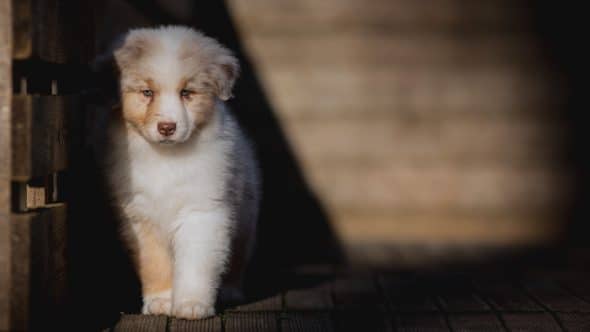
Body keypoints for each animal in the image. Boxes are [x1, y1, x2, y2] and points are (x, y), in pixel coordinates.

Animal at [104, 26, 262, 320]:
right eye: (147, 92)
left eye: (187, 92)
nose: (167, 127)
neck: (166, 158)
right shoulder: (140, 216)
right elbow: (154, 262)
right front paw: (160, 301)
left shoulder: (202, 210)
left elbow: (196, 260)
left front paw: (192, 304)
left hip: (246, 213)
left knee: (238, 256)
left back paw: (230, 291)